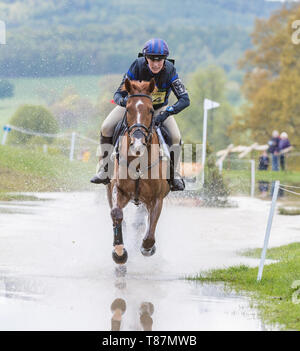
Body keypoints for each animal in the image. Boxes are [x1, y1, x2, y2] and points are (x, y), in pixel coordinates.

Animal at [106, 77, 170, 264]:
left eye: (151, 110)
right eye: (127, 108)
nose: (138, 144)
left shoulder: (157, 198)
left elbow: (150, 230)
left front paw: (147, 248)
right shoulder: (118, 189)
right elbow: (116, 213)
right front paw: (119, 251)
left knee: (141, 222)